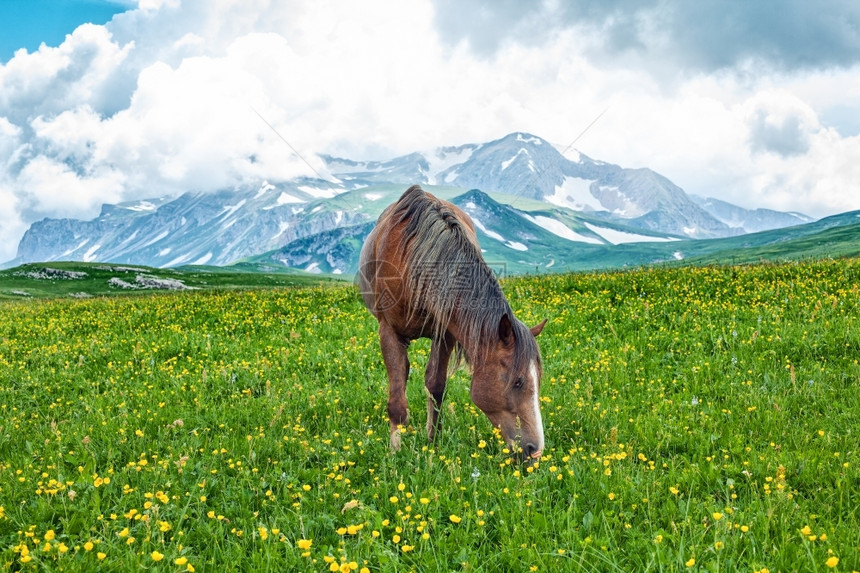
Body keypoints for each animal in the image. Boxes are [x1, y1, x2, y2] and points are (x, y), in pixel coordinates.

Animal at [360, 185, 548, 458]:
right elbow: (397, 398)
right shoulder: (389, 332)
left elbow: (436, 386)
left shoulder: (445, 334)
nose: (535, 451)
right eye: (518, 381)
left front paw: (433, 443)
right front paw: (395, 454)